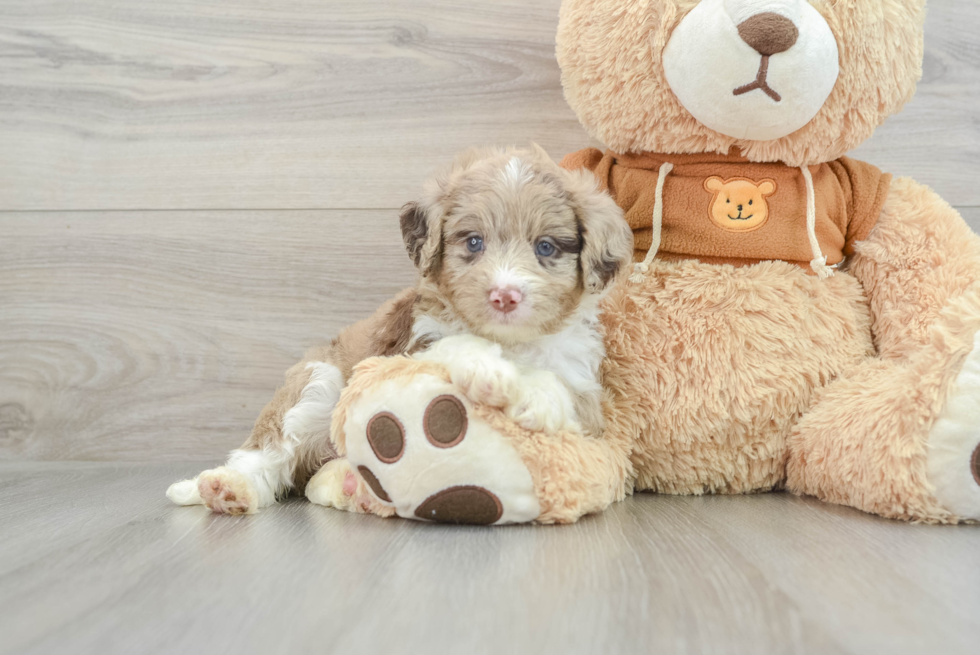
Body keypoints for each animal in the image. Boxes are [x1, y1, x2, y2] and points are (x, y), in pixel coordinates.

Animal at [166, 146, 632, 516]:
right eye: (474, 242)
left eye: (546, 247)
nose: (505, 296)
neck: (510, 342)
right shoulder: (412, 345)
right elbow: (457, 344)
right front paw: (492, 373)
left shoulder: (585, 395)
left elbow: (563, 391)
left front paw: (537, 396)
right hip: (318, 382)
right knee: (267, 452)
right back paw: (225, 488)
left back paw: (352, 488)